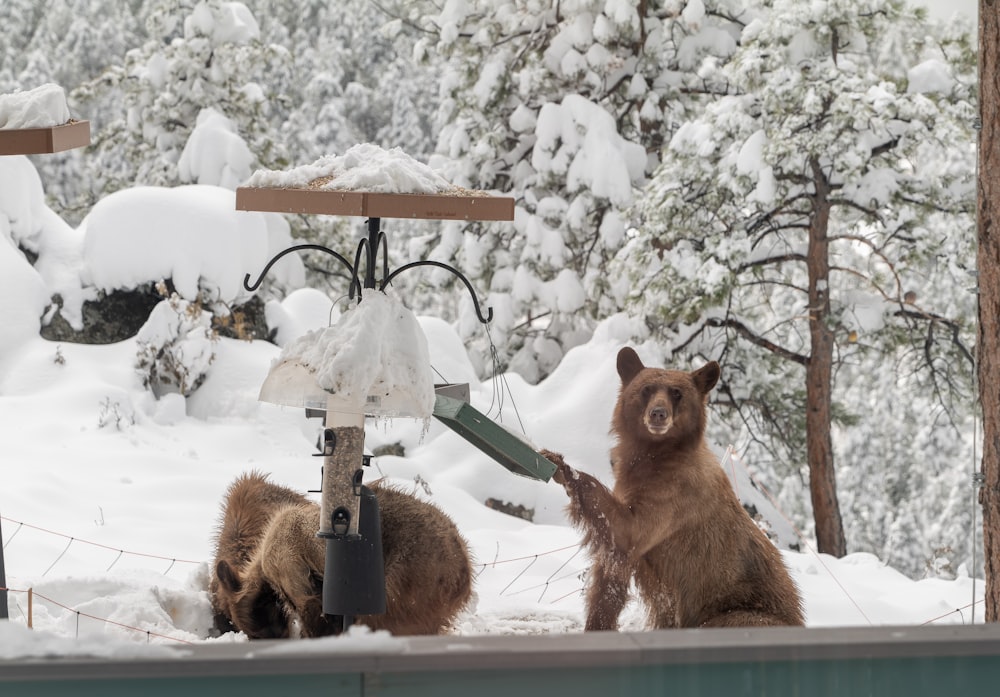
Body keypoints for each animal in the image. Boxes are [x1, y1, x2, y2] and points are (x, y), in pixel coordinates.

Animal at [540, 348, 804, 632]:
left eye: (676, 392)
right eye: (646, 389)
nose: (658, 414)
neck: (655, 456)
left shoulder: (677, 496)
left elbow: (630, 529)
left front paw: (562, 466)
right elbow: (608, 581)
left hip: (742, 611)